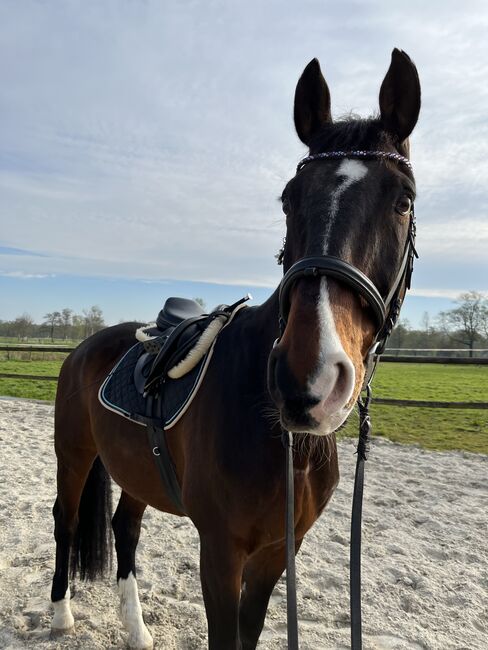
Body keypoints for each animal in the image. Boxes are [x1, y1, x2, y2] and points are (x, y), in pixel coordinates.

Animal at [51, 48, 422, 644]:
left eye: (403, 201)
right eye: (289, 200)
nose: (307, 380)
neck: (282, 437)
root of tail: (88, 347)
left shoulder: (276, 552)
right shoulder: (221, 553)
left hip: (133, 470)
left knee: (125, 528)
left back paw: (136, 629)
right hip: (74, 452)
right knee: (63, 519)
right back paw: (61, 612)